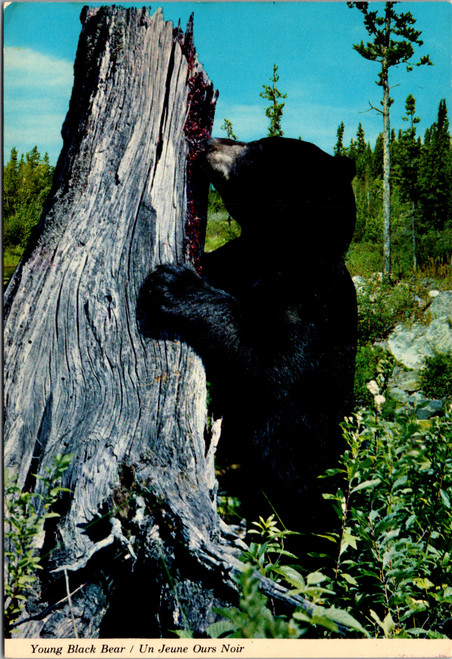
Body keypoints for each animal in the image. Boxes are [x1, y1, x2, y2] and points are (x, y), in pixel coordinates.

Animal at [138, 136, 357, 546]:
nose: (210, 143)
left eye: (257, 149)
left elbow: (264, 358)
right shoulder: (239, 259)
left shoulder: (310, 311)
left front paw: (174, 284)